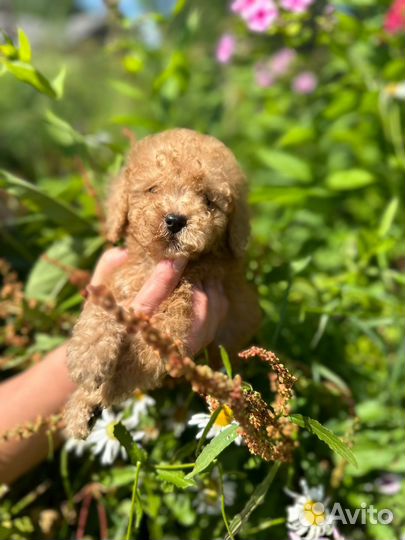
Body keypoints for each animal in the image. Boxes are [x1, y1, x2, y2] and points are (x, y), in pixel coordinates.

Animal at [64, 127, 260, 438]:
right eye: (153, 189)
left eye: (208, 200)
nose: (176, 220)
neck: (156, 262)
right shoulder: (121, 278)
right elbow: (101, 305)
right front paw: (88, 358)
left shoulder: (173, 325)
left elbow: (136, 363)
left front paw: (98, 395)